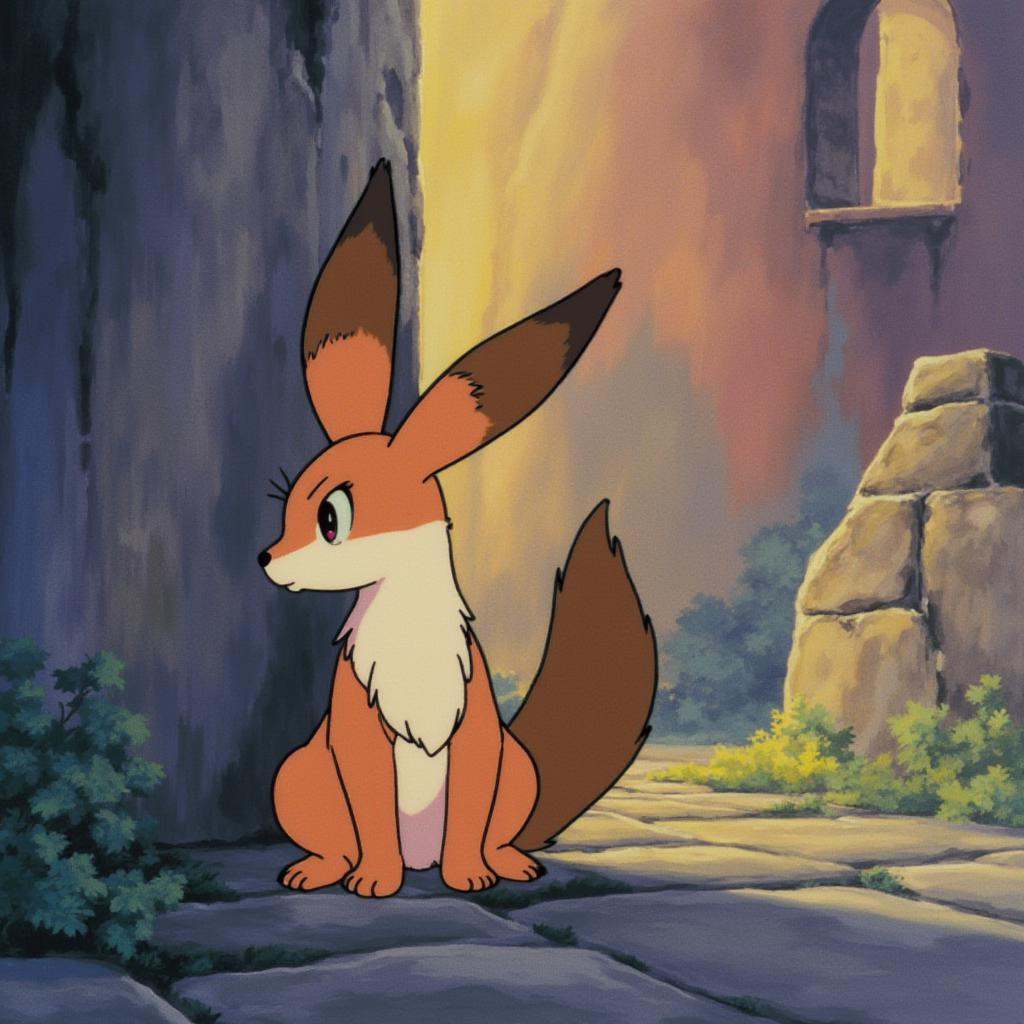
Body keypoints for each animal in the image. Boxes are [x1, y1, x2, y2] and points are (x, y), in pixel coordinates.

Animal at [258, 160, 656, 897]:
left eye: (330, 518)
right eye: (288, 500)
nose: (267, 559)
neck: (409, 634)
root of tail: (425, 857)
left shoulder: (477, 731)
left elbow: (470, 810)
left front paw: (470, 877)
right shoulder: (356, 732)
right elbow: (371, 814)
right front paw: (375, 882)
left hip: (519, 768)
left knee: (493, 830)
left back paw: (504, 864)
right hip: (295, 774)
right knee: (340, 839)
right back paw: (325, 870)